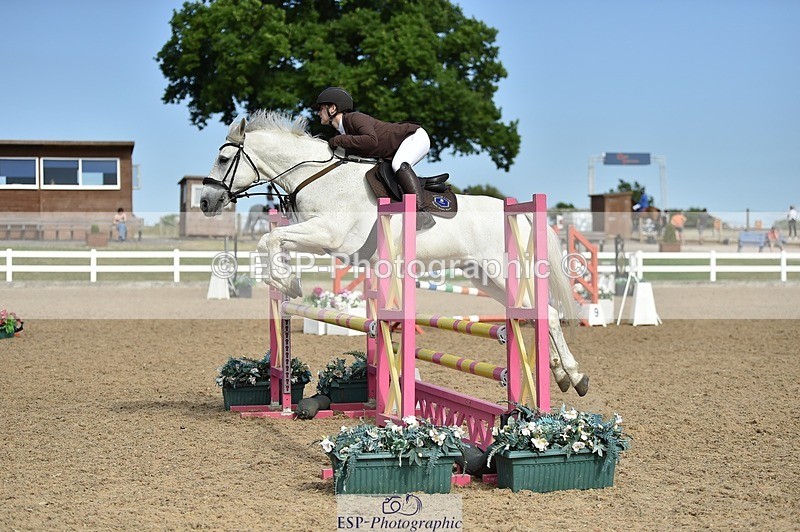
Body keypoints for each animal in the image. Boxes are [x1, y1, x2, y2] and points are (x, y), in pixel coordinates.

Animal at [200, 110, 589, 396]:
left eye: (223, 158)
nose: (205, 202)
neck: (316, 177)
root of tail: (518, 212)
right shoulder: (322, 239)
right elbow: (273, 241)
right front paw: (285, 281)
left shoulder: (329, 233)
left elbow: (271, 239)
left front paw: (289, 283)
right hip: (484, 276)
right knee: (534, 314)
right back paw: (560, 373)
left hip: (504, 271)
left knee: (547, 313)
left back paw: (574, 375)